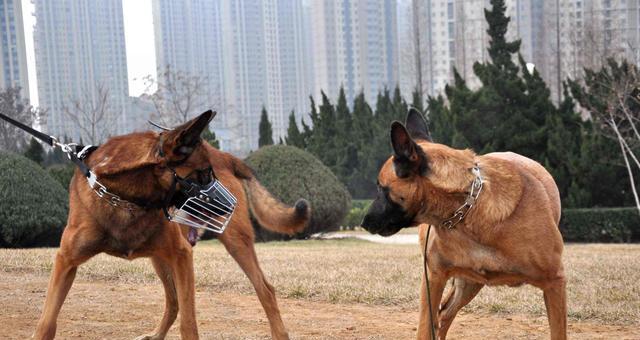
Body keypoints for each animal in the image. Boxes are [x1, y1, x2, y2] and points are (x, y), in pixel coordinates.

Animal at [33, 110, 308, 338]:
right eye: (204, 174)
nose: (231, 205)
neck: (124, 200)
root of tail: (224, 154)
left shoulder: (182, 255)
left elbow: (189, 324)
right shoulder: (66, 261)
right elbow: (46, 322)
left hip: (234, 243)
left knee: (265, 290)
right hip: (160, 258)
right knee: (173, 301)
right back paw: (156, 335)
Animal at [362, 109, 568, 340]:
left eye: (381, 188)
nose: (363, 222)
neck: (468, 210)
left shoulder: (555, 283)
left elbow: (558, 333)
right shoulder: (433, 278)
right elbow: (425, 329)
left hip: (471, 283)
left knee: (444, 314)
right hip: (466, 282)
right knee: (443, 314)